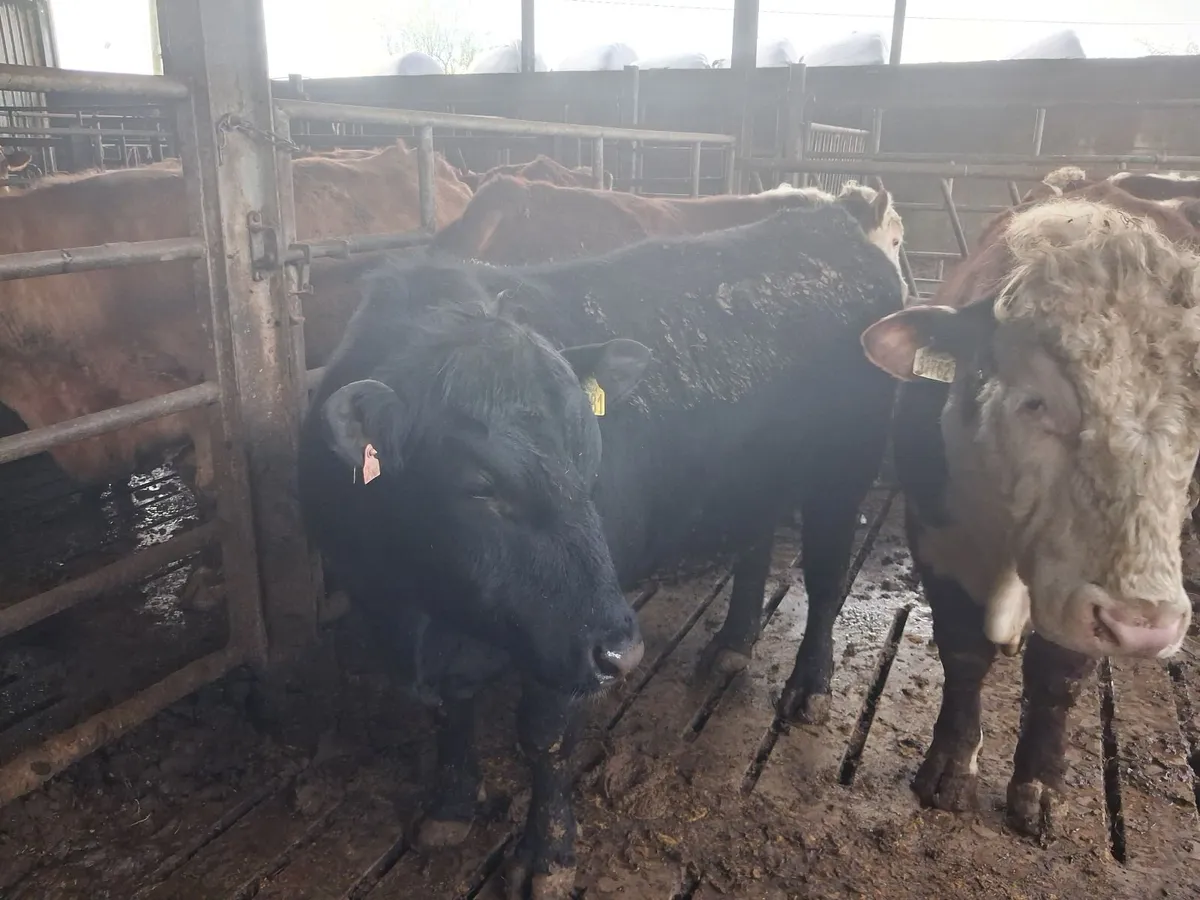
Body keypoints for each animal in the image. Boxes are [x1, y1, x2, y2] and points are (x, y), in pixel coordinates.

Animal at [299, 194, 905, 899]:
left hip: (845, 472)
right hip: (753, 479)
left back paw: (810, 685)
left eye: (590, 452)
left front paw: (547, 855)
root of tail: (835, 219)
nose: (624, 649)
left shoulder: (564, 646)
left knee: (829, 576)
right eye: (479, 486)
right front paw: (448, 809)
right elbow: (451, 715)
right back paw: (731, 645)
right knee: (754, 546)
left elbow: (545, 740)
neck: (425, 613)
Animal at [860, 186, 1200, 839]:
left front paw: (1039, 784)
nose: (1146, 626)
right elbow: (962, 652)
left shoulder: (1083, 600)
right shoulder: (937, 535)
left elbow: (1057, 674)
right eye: (1033, 401)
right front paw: (949, 769)